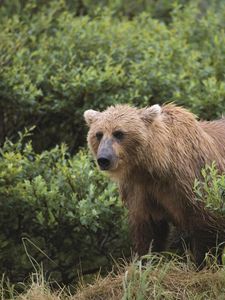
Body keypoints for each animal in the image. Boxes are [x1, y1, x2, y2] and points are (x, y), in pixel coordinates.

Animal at [83, 103, 225, 264]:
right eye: (98, 134)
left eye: (118, 133)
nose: (103, 159)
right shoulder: (140, 190)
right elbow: (148, 231)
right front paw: (146, 260)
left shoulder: (193, 180)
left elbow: (205, 221)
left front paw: (202, 261)